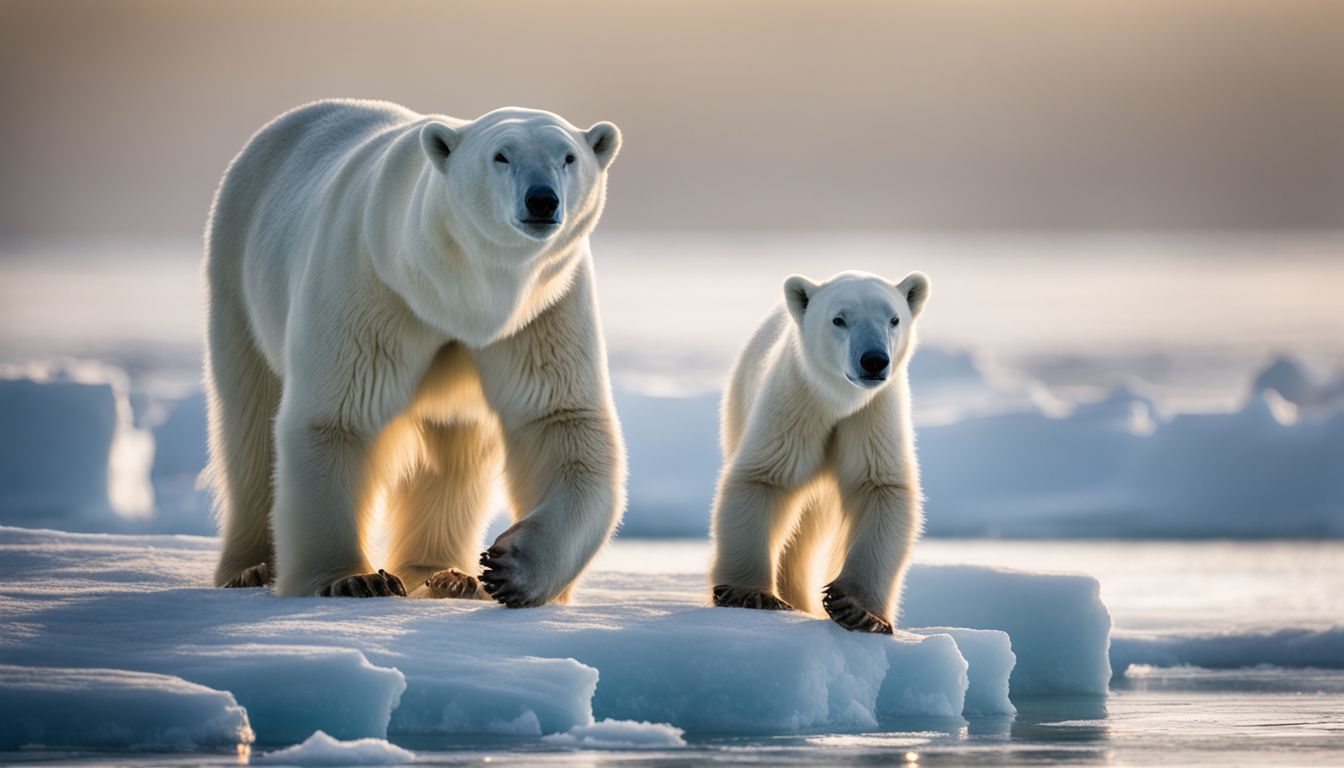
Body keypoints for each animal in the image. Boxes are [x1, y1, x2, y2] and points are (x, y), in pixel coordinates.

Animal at [206, 102, 626, 605]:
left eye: (568, 156)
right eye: (501, 155)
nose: (541, 200)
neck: (458, 295)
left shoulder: (542, 310)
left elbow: (560, 421)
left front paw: (511, 570)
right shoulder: (370, 285)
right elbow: (338, 417)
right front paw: (351, 579)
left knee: (455, 445)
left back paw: (448, 575)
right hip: (236, 276)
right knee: (248, 423)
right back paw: (248, 568)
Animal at [709, 273, 930, 634]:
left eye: (893, 319)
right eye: (839, 319)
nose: (874, 360)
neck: (839, 401)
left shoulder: (874, 415)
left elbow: (880, 488)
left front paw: (857, 609)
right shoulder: (797, 400)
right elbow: (763, 478)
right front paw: (750, 594)